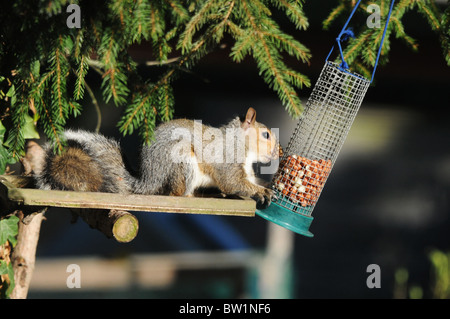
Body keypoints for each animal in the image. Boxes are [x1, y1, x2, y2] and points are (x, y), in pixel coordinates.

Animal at [34, 108, 282, 210]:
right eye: (266, 135)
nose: (278, 153)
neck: (243, 145)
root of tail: (149, 179)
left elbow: (250, 180)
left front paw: (268, 186)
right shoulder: (228, 158)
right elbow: (233, 182)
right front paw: (262, 192)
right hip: (181, 161)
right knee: (176, 193)